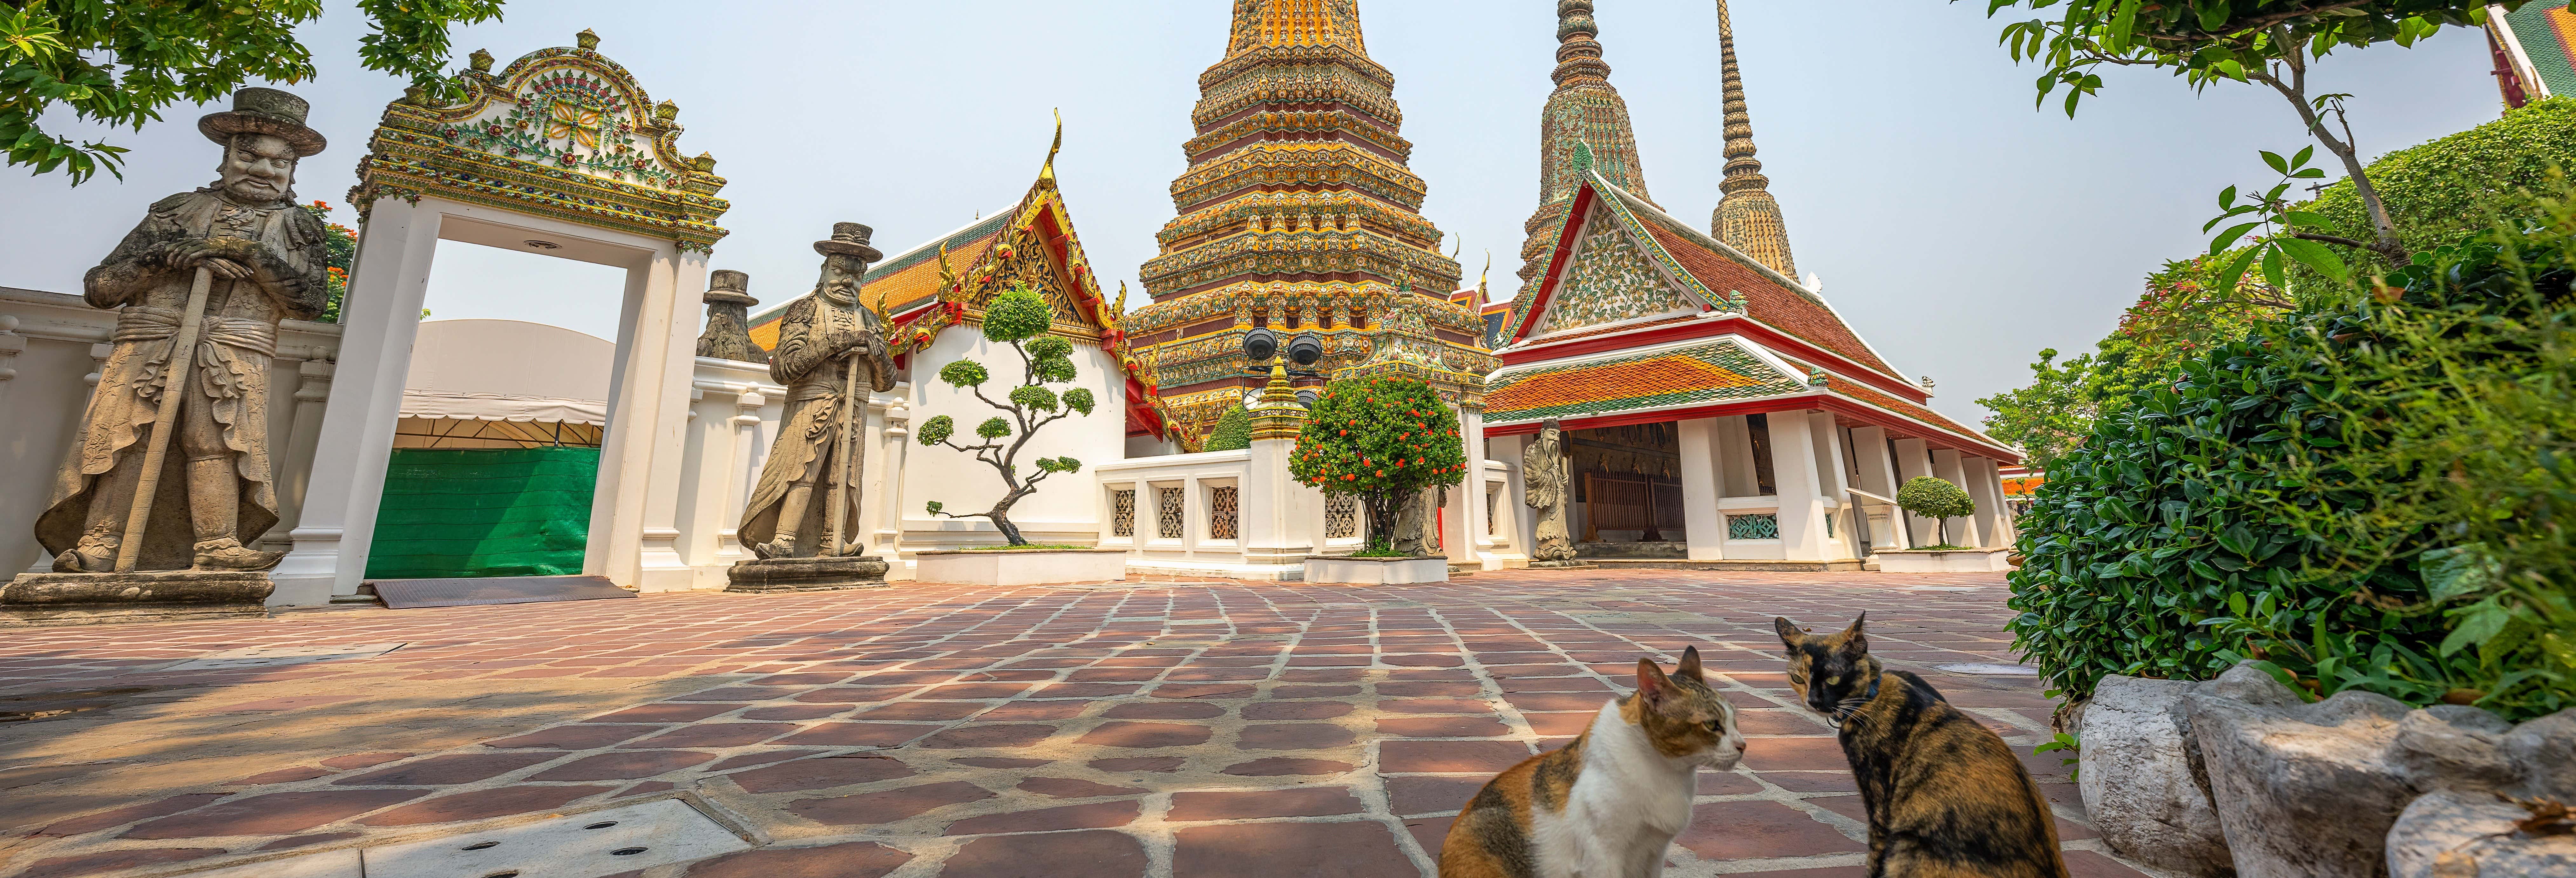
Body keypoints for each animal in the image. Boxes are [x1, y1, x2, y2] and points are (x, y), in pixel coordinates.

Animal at [1442, 644, 1741, 875]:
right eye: (1712, 725)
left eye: (1734, 720)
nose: (1743, 745)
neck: (1665, 772)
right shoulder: (1603, 853)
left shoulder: (1654, 853)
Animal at [1772, 607, 2071, 875]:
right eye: (1797, 678)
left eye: (1833, 678)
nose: (1813, 701)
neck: (1872, 695)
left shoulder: (1880, 802)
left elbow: (1874, 857)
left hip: (1909, 846)